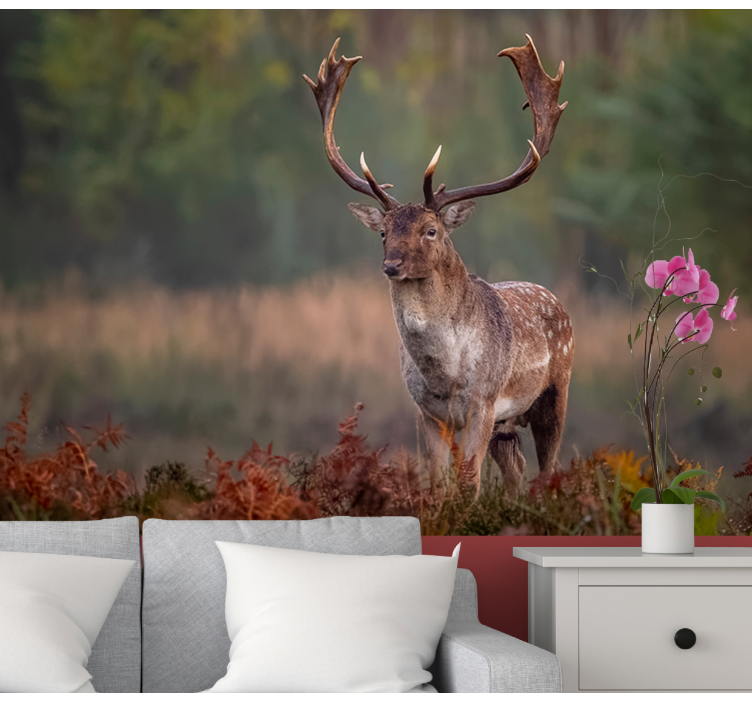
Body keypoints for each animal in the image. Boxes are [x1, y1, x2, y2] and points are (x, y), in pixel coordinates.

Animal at [304, 35, 574, 497]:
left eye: (431, 230)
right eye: (383, 231)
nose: (391, 264)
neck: (445, 376)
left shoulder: (484, 401)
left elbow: (467, 480)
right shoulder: (426, 411)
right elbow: (436, 480)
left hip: (555, 391)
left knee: (548, 470)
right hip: (507, 423)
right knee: (516, 468)